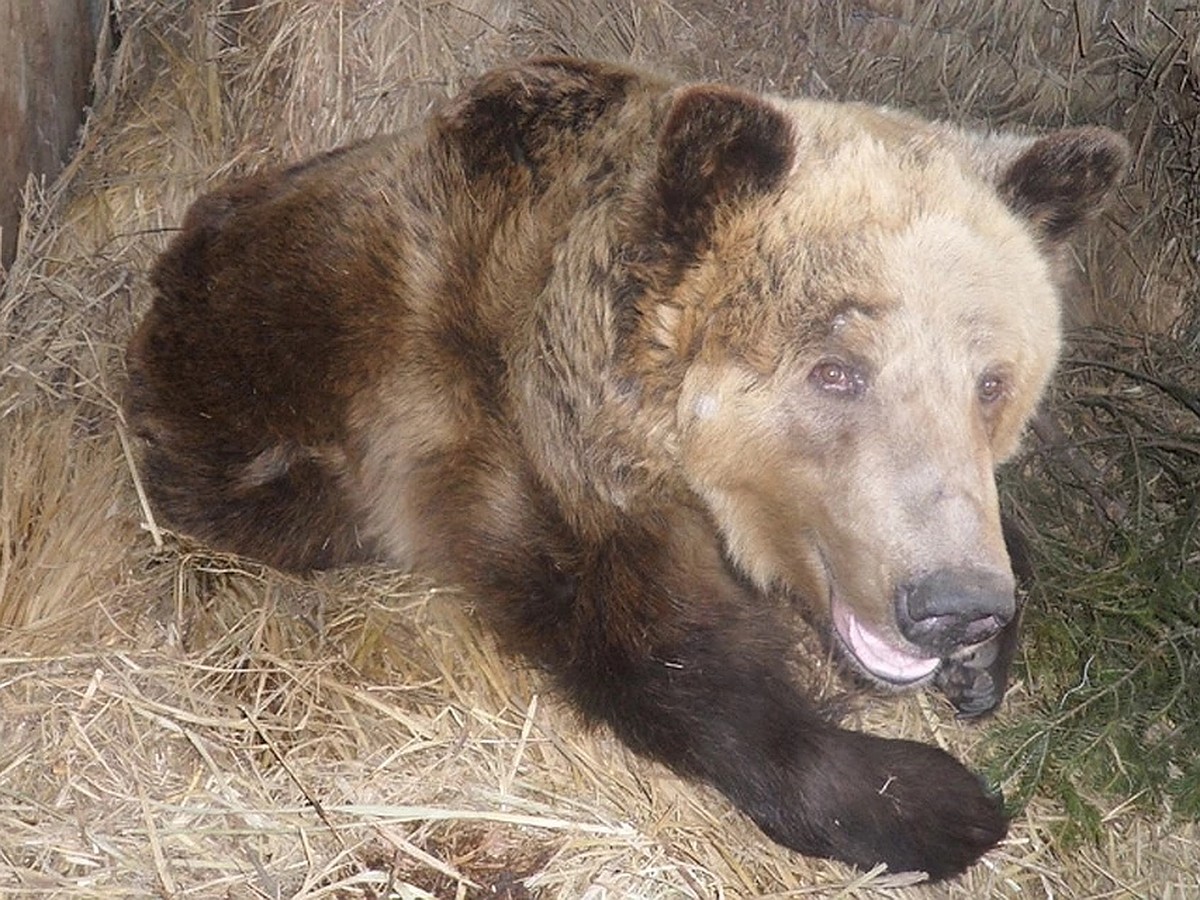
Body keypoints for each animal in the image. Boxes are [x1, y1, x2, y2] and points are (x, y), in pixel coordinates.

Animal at [126, 56, 1128, 883]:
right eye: (837, 369)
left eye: (992, 381)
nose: (955, 604)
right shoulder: (499, 442)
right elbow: (660, 656)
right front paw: (934, 803)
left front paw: (986, 659)